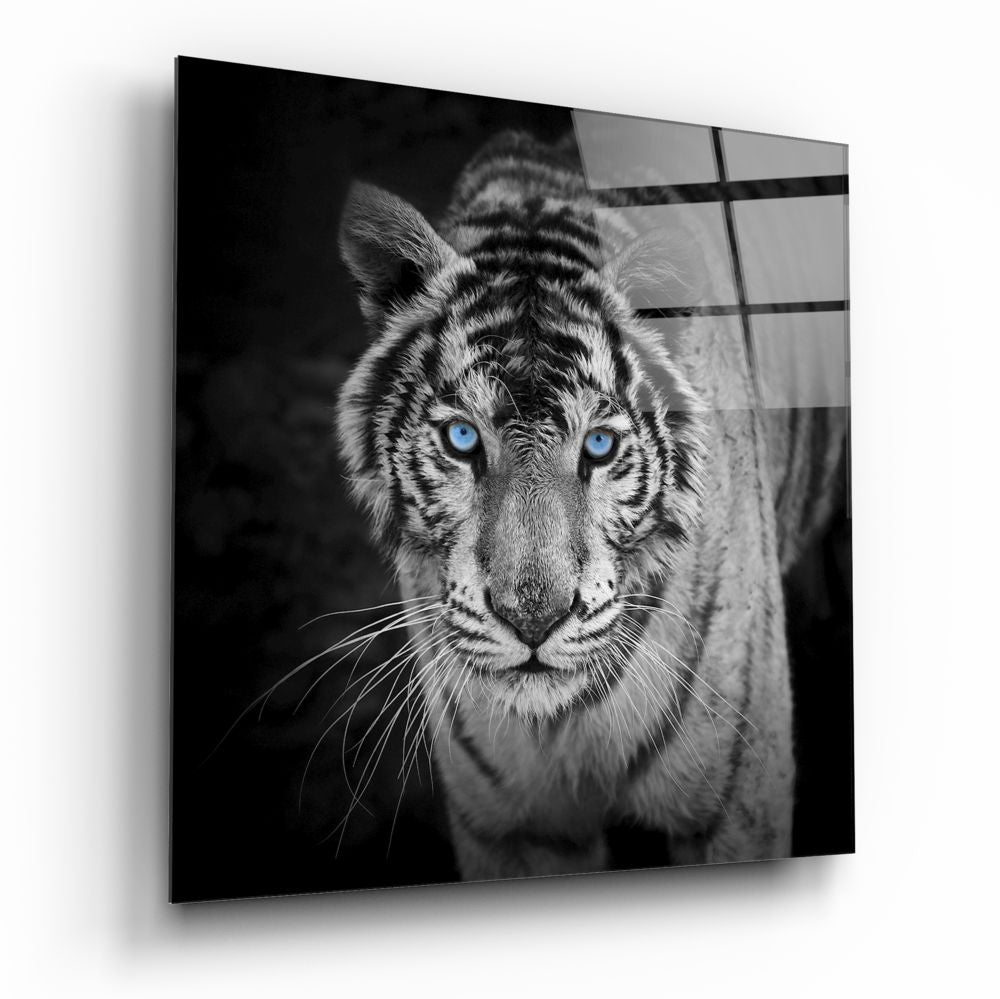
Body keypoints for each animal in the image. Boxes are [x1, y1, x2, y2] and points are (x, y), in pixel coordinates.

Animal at [336, 130, 847, 881]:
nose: (532, 619)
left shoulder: (736, 805)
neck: (562, 725)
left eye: (599, 445)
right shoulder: (509, 829)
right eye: (462, 438)